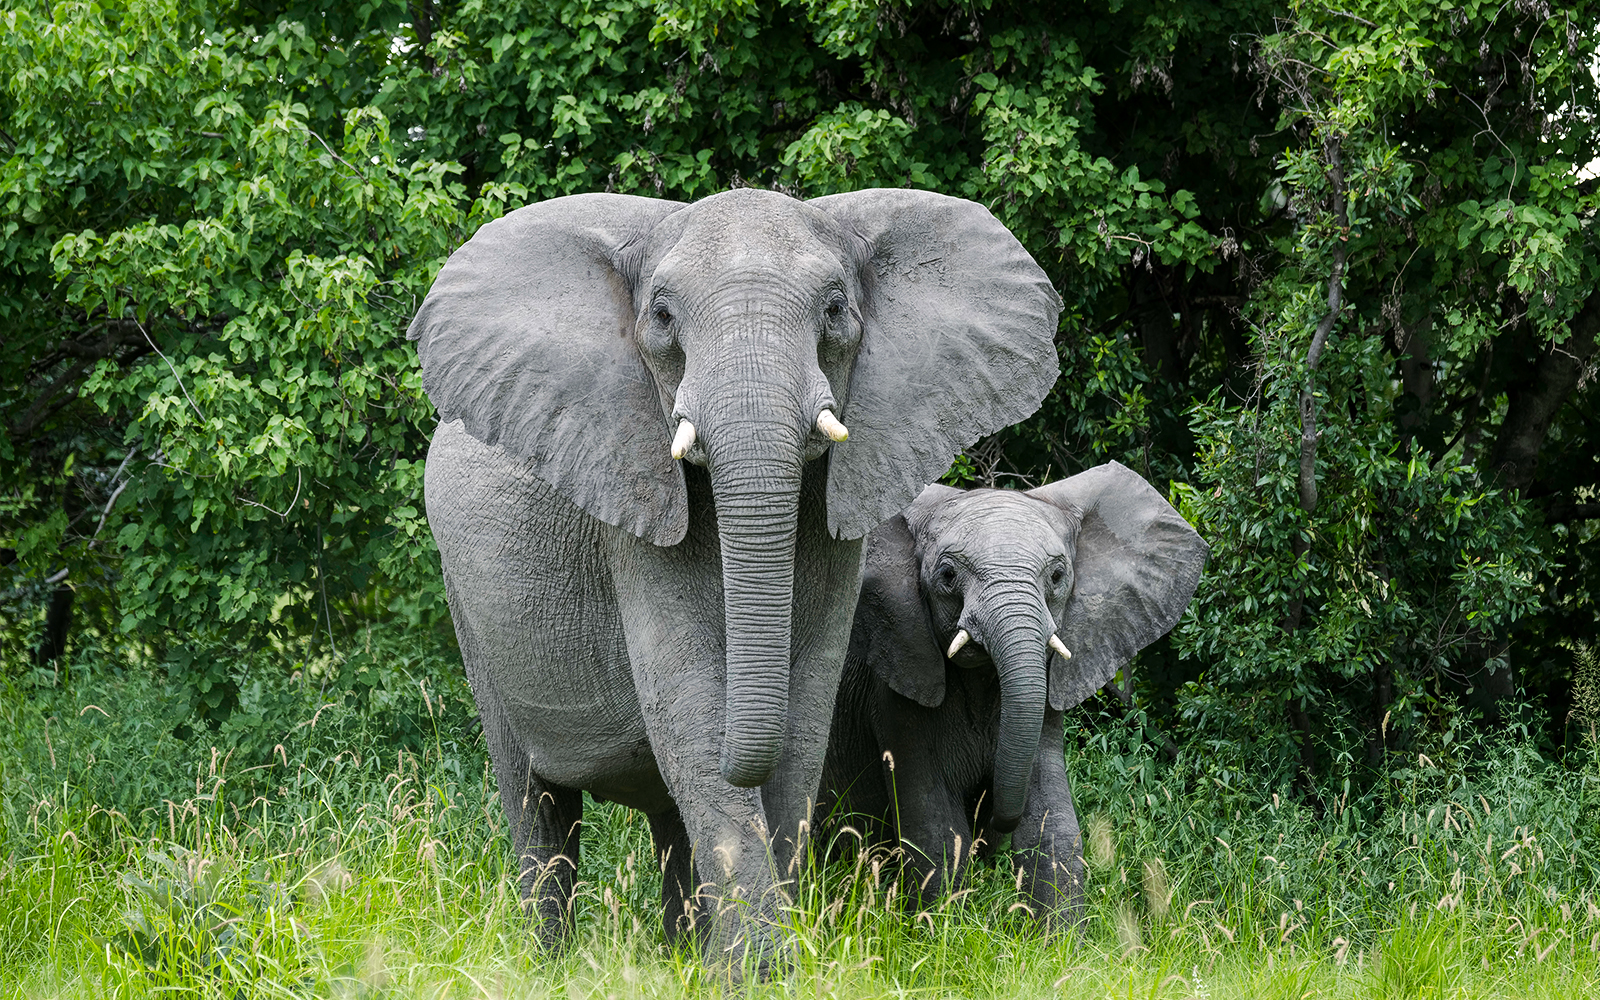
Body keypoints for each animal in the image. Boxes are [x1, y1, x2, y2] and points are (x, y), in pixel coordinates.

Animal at [407, 187, 1061, 965]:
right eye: (661, 317)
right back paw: (550, 964)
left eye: (835, 309)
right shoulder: (633, 494)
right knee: (537, 806)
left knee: (663, 817)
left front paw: (766, 963)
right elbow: (690, 707)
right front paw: (764, 969)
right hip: (467, 605)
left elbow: (801, 715)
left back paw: (681, 958)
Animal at [817, 462, 1207, 922]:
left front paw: (1060, 938)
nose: (989, 829)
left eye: (1057, 576)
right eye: (947, 576)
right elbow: (935, 830)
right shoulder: (898, 682)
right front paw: (939, 931)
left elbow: (1051, 823)